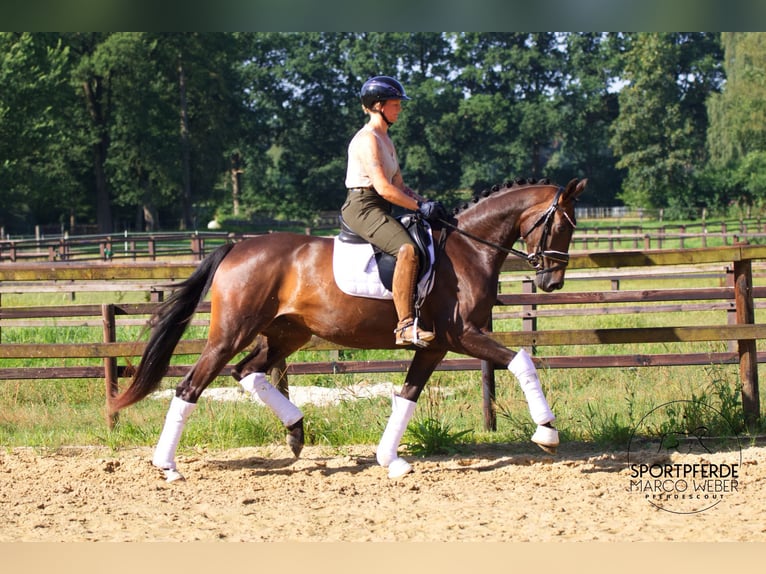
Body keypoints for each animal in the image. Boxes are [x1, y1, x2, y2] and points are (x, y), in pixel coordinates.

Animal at [110, 177, 587, 481]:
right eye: (562, 224)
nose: (552, 281)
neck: (468, 249)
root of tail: (236, 247)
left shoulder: (434, 346)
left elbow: (407, 395)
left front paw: (389, 459)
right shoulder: (464, 334)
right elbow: (522, 360)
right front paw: (547, 432)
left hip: (287, 333)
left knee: (247, 371)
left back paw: (296, 431)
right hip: (231, 333)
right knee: (190, 385)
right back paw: (167, 466)